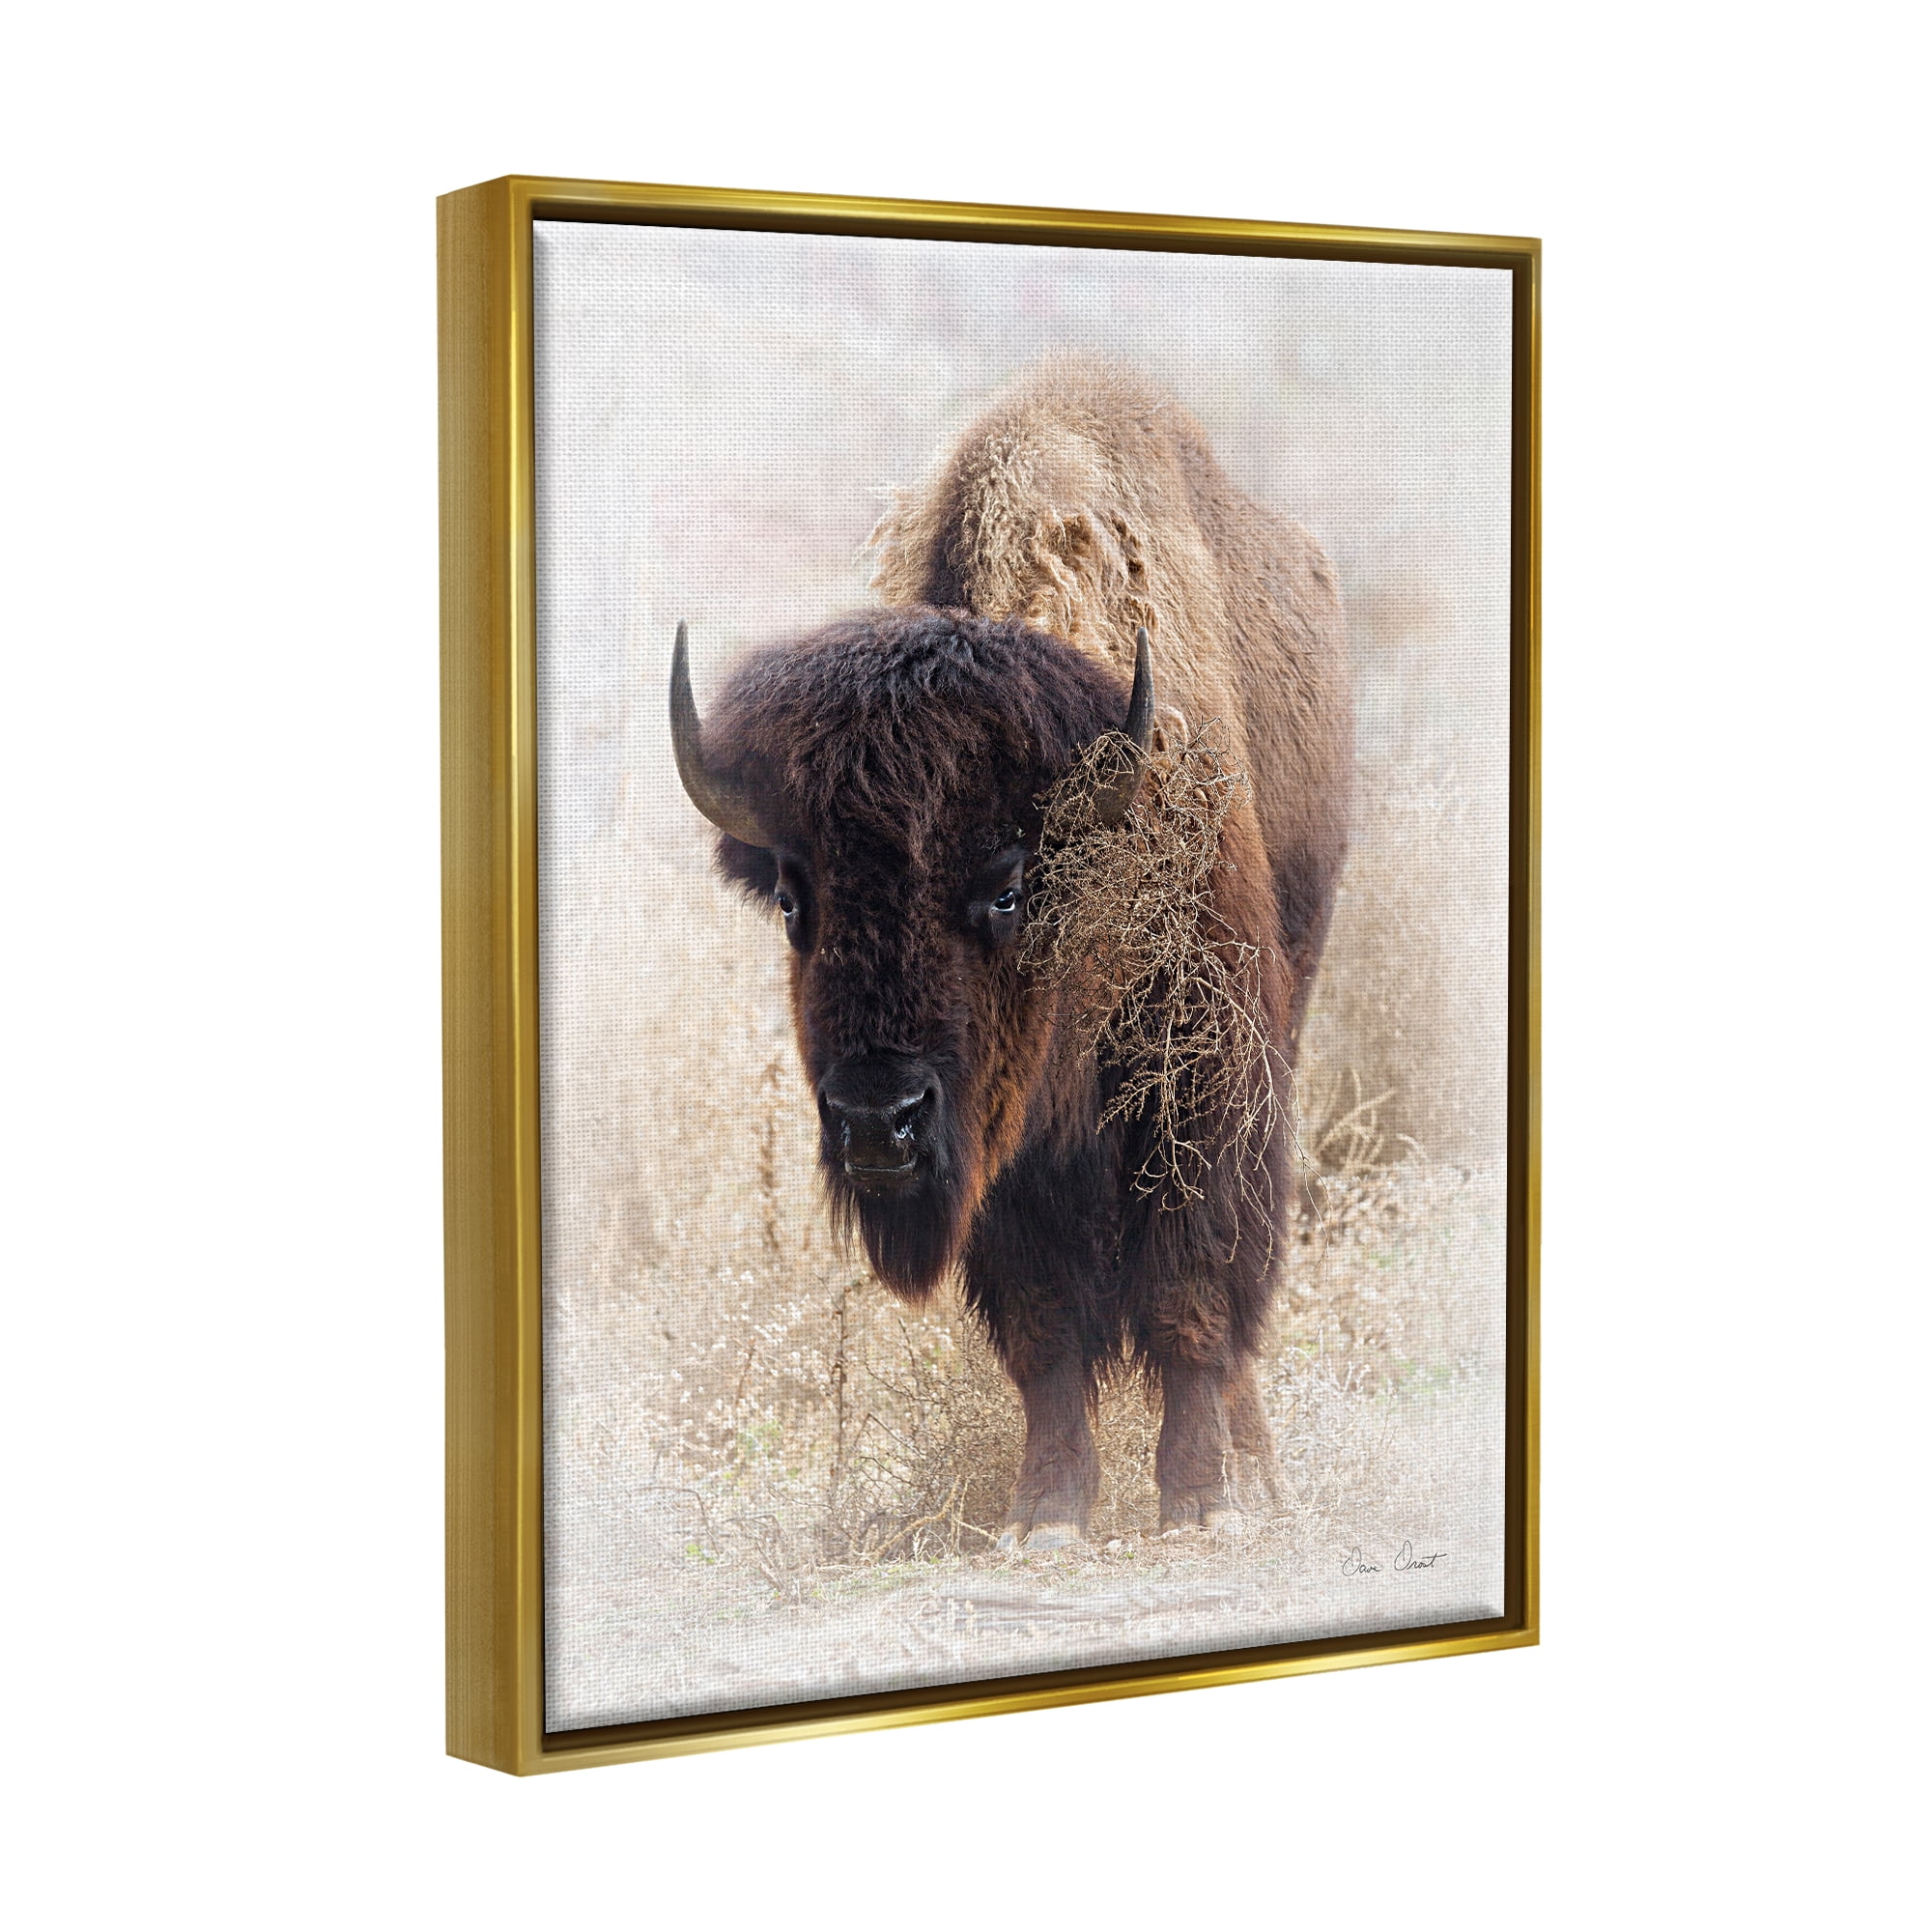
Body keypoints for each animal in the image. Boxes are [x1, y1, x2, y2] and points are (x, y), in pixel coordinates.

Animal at [669, 357, 1351, 1548]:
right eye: (795, 900)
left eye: (1004, 885)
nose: (876, 1120)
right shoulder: (1006, 1162)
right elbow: (1043, 1328)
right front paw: (1047, 1510)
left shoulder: (1205, 1088)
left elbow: (1192, 1291)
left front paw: (1197, 1501)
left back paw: (1257, 1471)